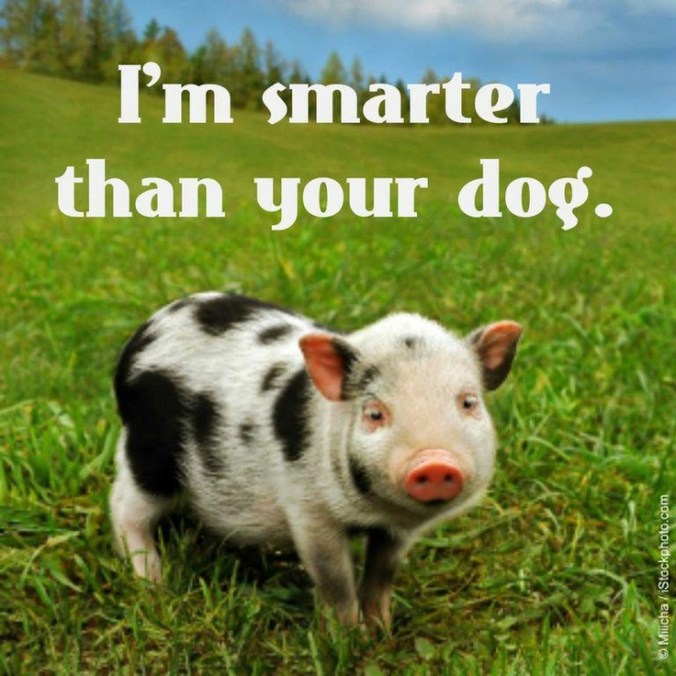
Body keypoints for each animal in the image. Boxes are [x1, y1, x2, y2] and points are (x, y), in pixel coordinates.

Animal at [109, 292, 521, 626]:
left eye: (468, 402)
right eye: (375, 413)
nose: (434, 462)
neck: (374, 511)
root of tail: (139, 338)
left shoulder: (397, 530)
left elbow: (382, 572)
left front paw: (382, 630)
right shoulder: (309, 509)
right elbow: (333, 578)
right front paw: (347, 638)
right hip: (149, 452)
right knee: (123, 505)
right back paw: (154, 584)